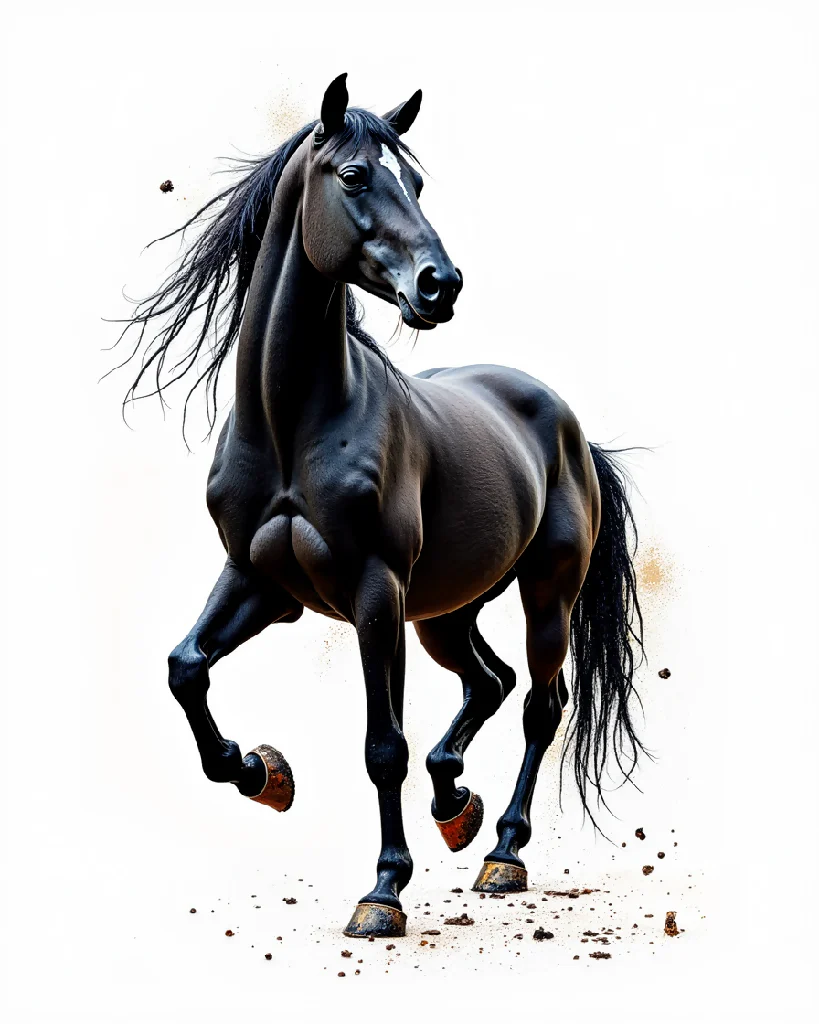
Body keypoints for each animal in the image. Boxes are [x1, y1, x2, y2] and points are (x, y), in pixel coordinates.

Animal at [112, 74, 645, 939]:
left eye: (417, 183)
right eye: (356, 176)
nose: (440, 285)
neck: (292, 423)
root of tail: (567, 424)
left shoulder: (373, 590)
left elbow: (381, 746)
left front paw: (383, 892)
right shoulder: (259, 582)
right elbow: (184, 668)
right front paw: (262, 773)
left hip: (545, 596)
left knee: (539, 704)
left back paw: (502, 853)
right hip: (445, 614)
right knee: (487, 684)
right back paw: (455, 804)